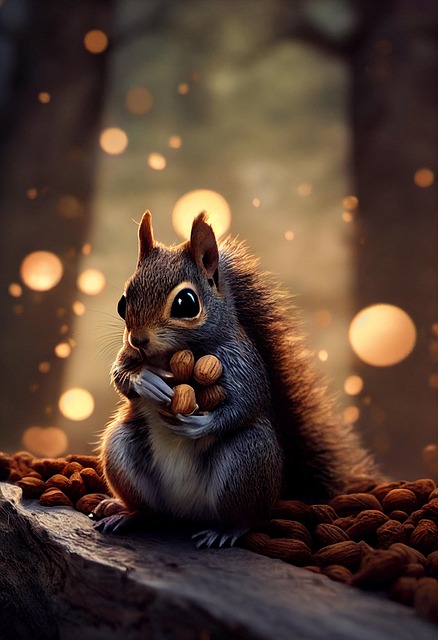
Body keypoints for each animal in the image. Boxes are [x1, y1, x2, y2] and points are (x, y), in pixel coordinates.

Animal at [95, 210, 378, 547]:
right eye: (123, 302)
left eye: (186, 303)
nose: (138, 339)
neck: (172, 353)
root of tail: (184, 512)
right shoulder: (130, 355)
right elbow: (120, 374)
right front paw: (146, 381)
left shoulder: (241, 360)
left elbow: (249, 400)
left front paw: (198, 424)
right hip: (121, 450)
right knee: (148, 508)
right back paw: (125, 513)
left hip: (247, 460)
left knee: (246, 518)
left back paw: (224, 531)